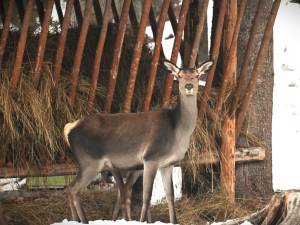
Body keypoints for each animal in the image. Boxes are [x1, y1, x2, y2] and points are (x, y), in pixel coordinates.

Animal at [63, 59, 213, 223]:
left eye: (197, 75)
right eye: (179, 76)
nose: (189, 86)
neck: (177, 131)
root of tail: (69, 128)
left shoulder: (168, 164)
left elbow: (170, 196)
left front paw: (174, 221)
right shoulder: (150, 158)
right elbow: (146, 197)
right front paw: (143, 220)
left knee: (72, 189)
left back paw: (75, 220)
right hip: (90, 161)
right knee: (72, 189)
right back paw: (82, 220)